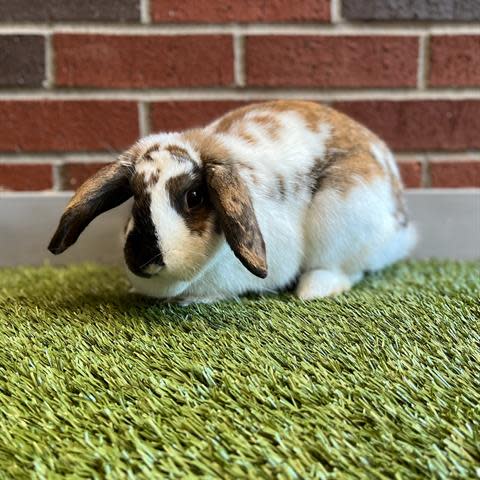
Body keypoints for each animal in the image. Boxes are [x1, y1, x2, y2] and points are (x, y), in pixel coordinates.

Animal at [49, 100, 416, 304]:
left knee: (346, 269)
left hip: (342, 216)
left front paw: (196, 301)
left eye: (194, 197)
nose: (143, 258)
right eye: (134, 197)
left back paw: (314, 289)